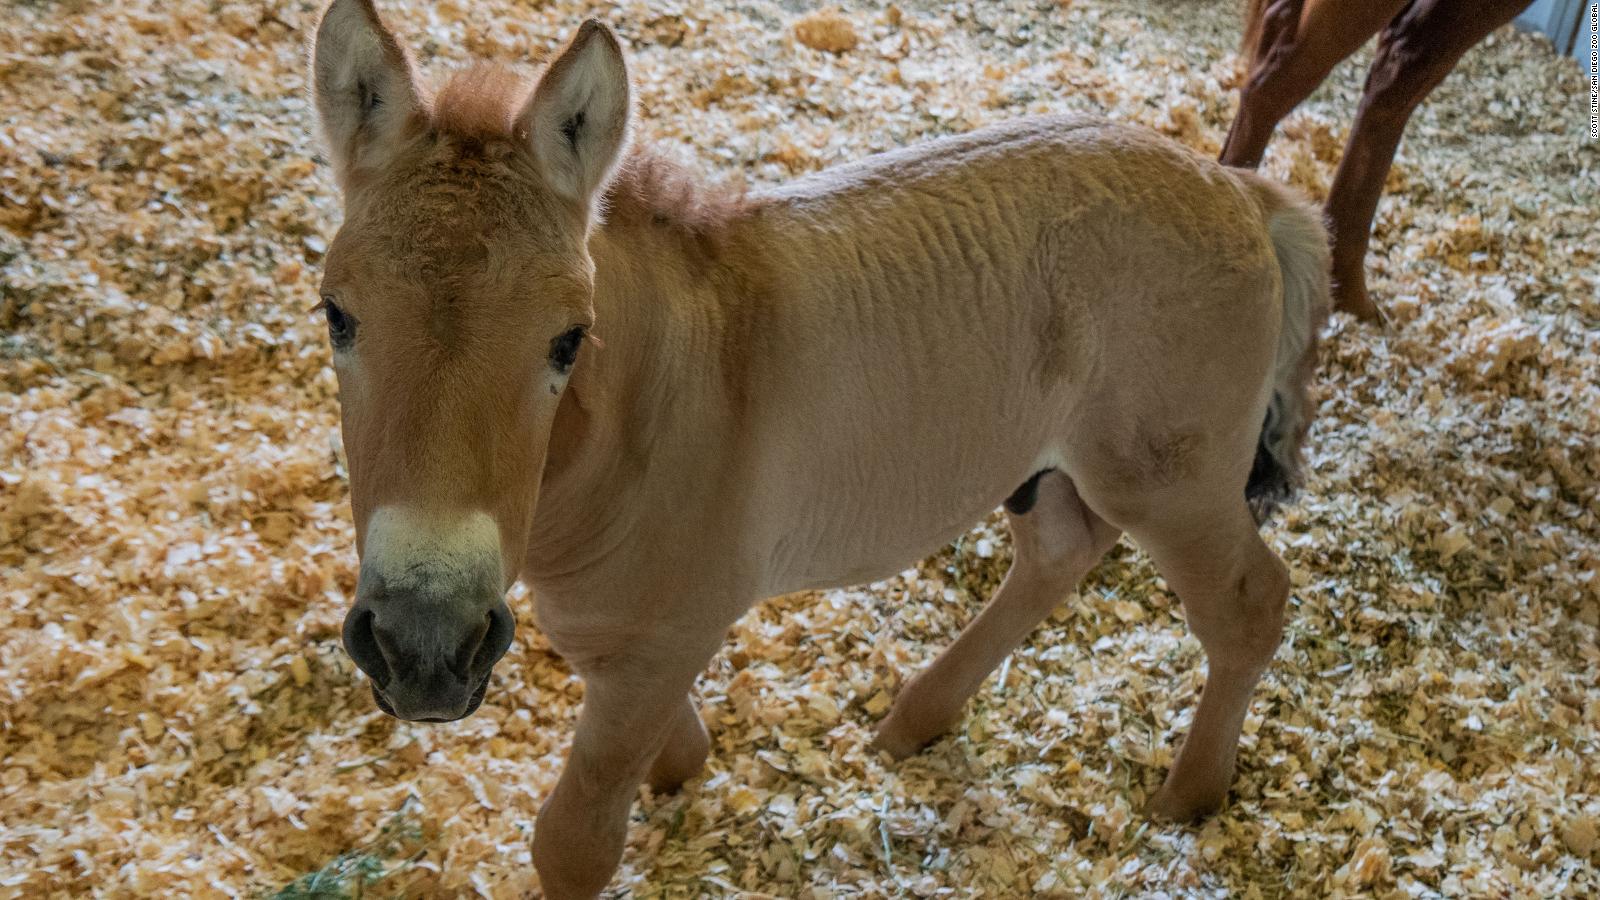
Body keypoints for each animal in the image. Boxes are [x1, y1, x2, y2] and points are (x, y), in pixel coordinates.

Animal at [305, 3, 1331, 890]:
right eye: (336, 315)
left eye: (568, 339)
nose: (422, 646)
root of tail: (1239, 190)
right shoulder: (611, 629)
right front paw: (685, 768)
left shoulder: (664, 638)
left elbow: (576, 841)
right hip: (1046, 466)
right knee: (1060, 552)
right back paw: (918, 719)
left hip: (1170, 481)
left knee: (1249, 603)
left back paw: (1189, 795)